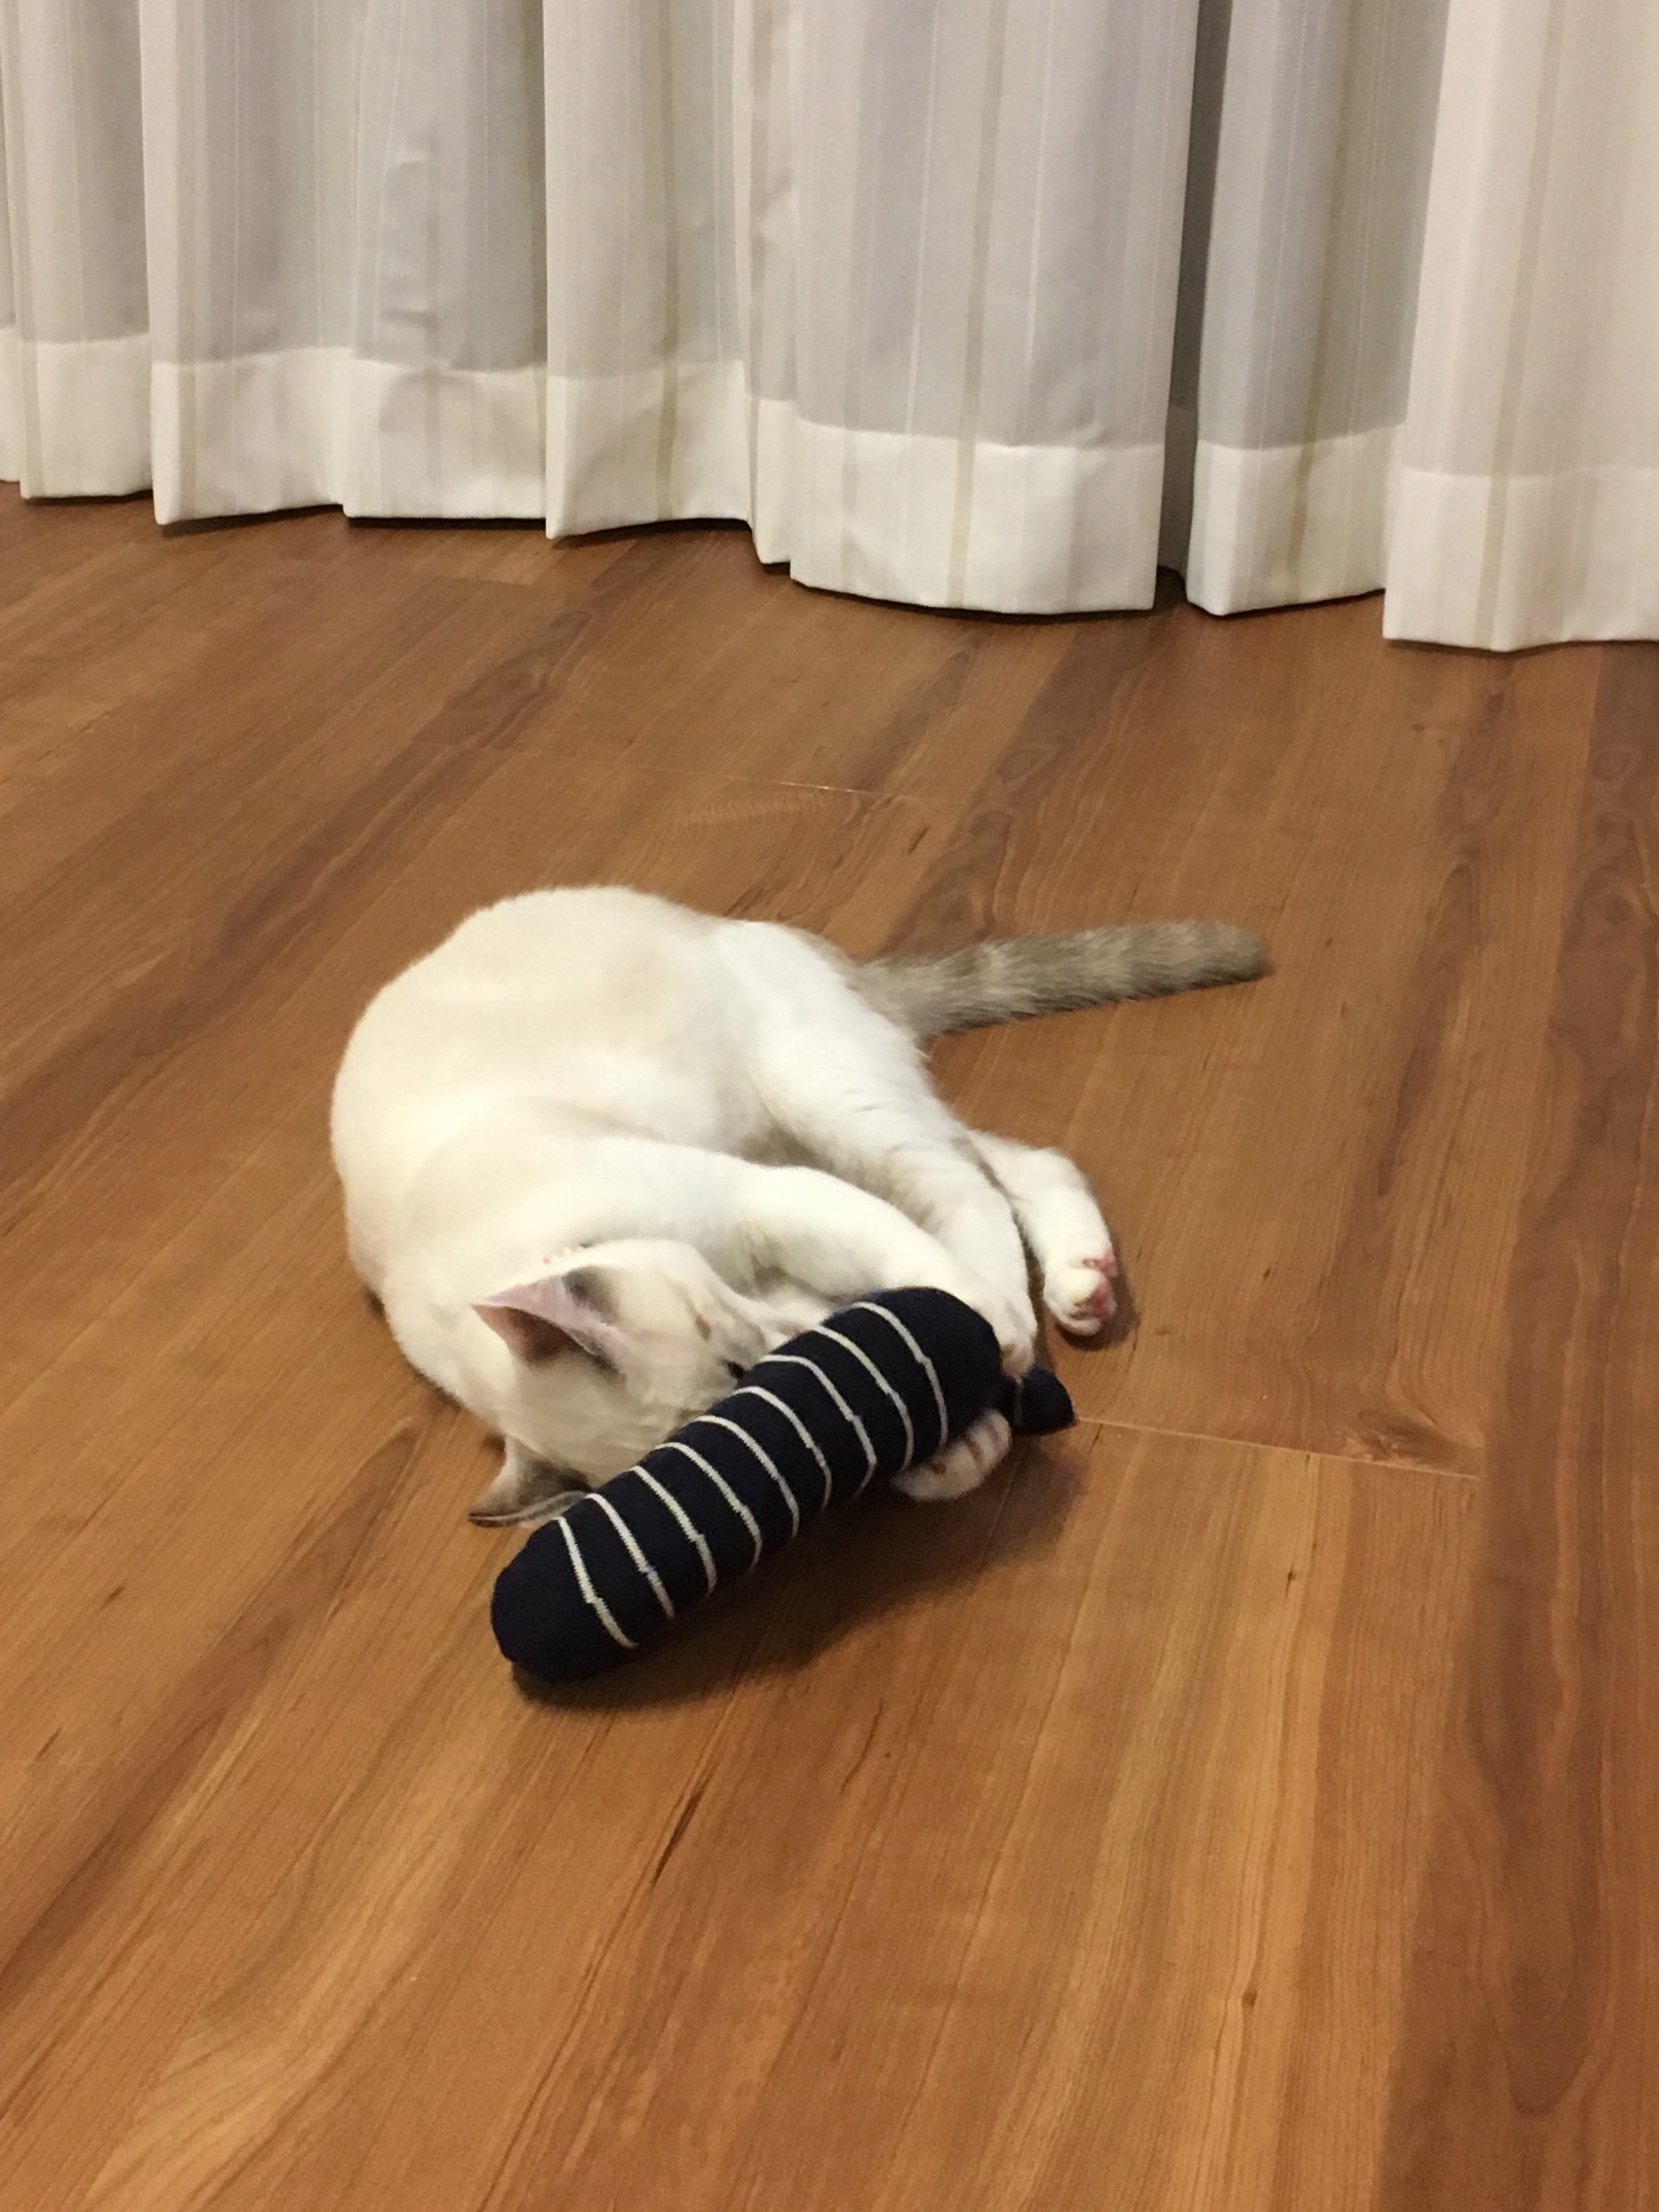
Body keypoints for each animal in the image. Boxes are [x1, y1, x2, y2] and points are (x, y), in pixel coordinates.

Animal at [331, 888, 1266, 1522]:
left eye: (741, 1374)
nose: (777, 1351)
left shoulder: (765, 1204)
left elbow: (922, 1272)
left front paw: (984, 1345)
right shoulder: (784, 1265)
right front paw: (958, 1439)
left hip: (818, 1104)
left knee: (964, 1183)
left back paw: (1036, 1312)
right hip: (829, 1128)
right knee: (1011, 1159)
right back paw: (1083, 1285)